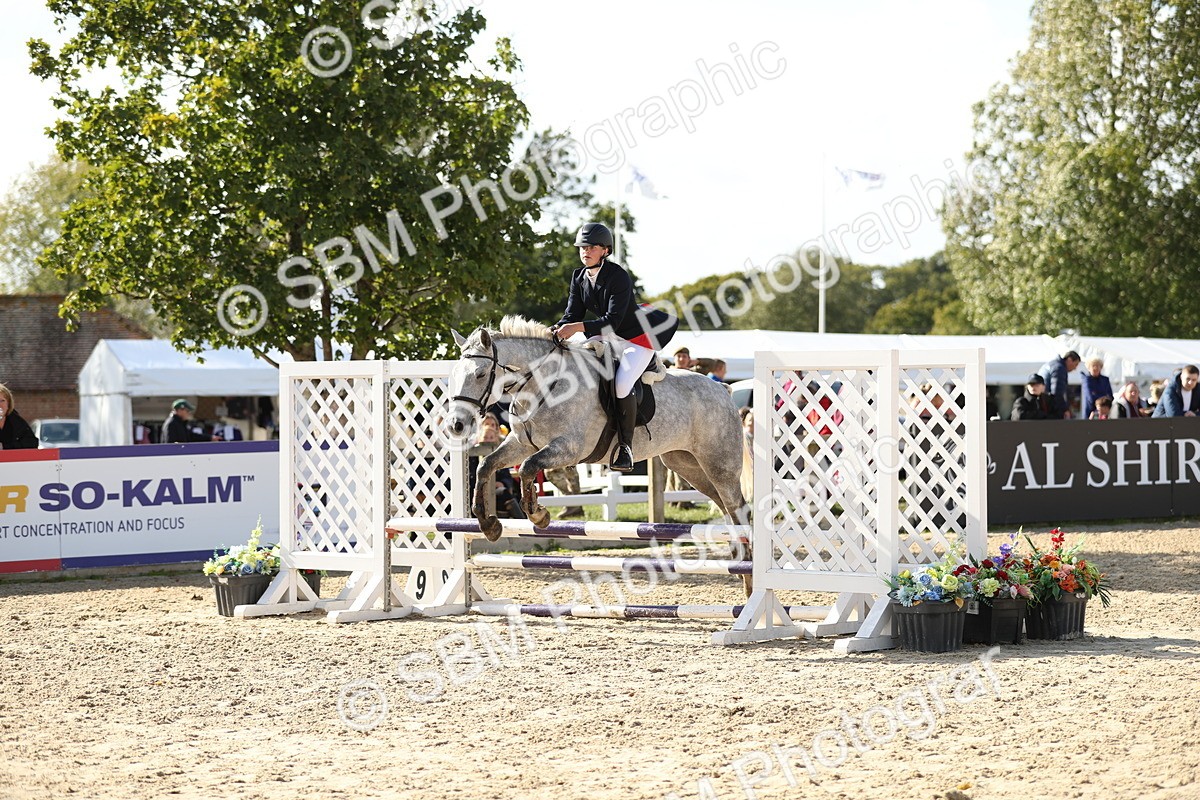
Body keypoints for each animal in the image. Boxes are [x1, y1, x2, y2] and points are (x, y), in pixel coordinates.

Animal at [447, 316, 749, 544]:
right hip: (686, 464)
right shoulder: (522, 444)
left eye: (480, 375)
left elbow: (527, 469)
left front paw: (539, 515)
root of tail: (723, 388)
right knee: (726, 511)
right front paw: (489, 525)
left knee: (739, 510)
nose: (456, 425)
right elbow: (485, 465)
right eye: (453, 375)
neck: (544, 384)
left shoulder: (568, 449)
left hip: (720, 467)